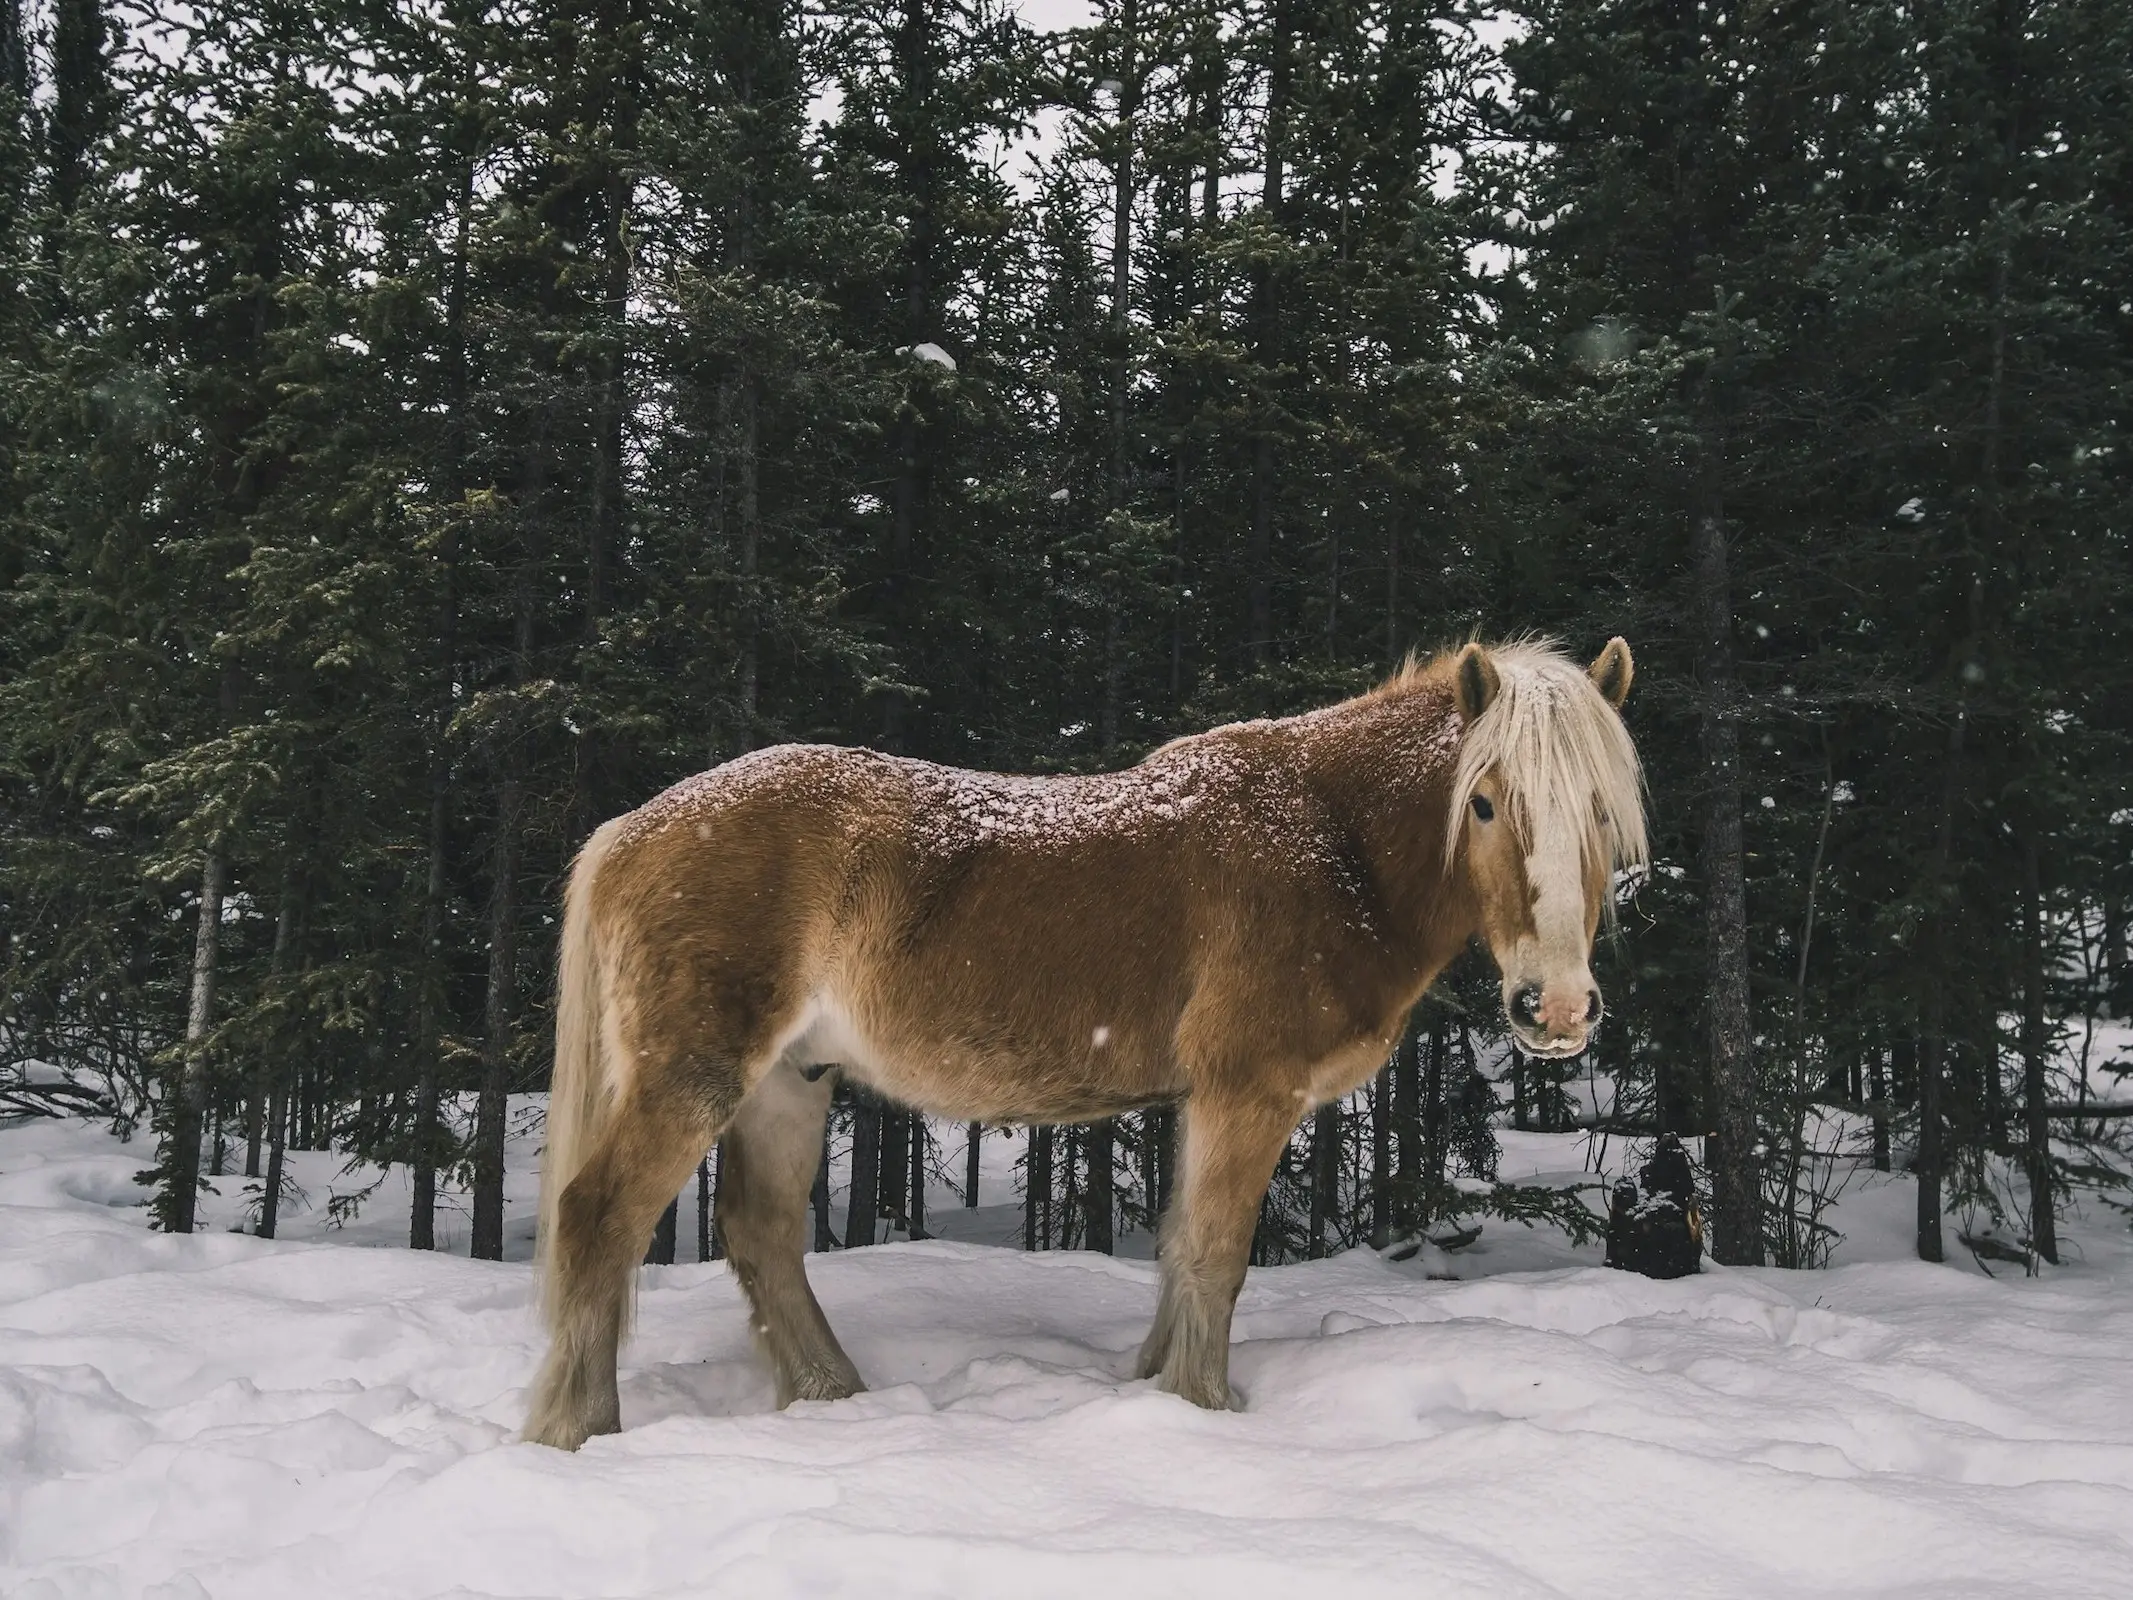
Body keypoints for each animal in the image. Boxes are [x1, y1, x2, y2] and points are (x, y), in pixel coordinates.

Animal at [524, 640, 1638, 1450]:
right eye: (1484, 801)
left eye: (1598, 809)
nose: (1556, 1007)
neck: (1329, 842)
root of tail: (633, 828)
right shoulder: (1247, 1093)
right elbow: (1216, 1257)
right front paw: (1203, 1410)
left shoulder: (1201, 1102)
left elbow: (1183, 1249)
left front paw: (1155, 1391)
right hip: (693, 1078)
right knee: (597, 1219)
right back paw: (577, 1432)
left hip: (788, 1083)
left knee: (760, 1236)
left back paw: (833, 1397)